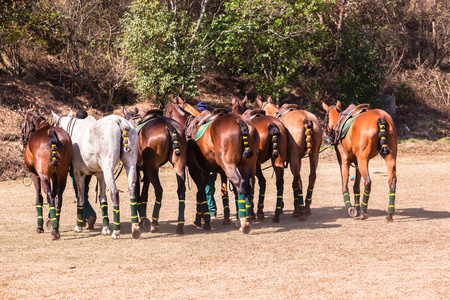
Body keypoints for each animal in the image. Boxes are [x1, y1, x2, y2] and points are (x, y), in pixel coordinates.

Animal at [18, 109, 72, 240]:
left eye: (22, 126)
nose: (23, 141)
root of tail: (51, 132)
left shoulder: (36, 175)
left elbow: (39, 198)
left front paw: (40, 226)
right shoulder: (55, 176)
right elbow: (54, 194)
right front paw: (51, 219)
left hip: (44, 177)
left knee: (49, 197)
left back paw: (54, 231)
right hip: (62, 176)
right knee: (58, 198)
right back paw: (55, 226)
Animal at [51, 110, 142, 239]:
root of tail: (120, 122)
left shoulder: (79, 174)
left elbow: (81, 197)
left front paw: (78, 226)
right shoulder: (101, 175)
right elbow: (102, 198)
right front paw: (105, 228)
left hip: (108, 168)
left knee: (114, 193)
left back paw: (116, 232)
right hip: (130, 164)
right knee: (132, 190)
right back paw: (135, 228)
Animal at [163, 97, 258, 233]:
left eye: (163, 111)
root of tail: (240, 121)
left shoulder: (194, 169)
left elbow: (201, 193)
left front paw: (204, 222)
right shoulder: (206, 171)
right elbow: (201, 194)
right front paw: (200, 220)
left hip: (229, 165)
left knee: (240, 184)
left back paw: (244, 223)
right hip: (247, 165)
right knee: (249, 186)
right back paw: (246, 219)